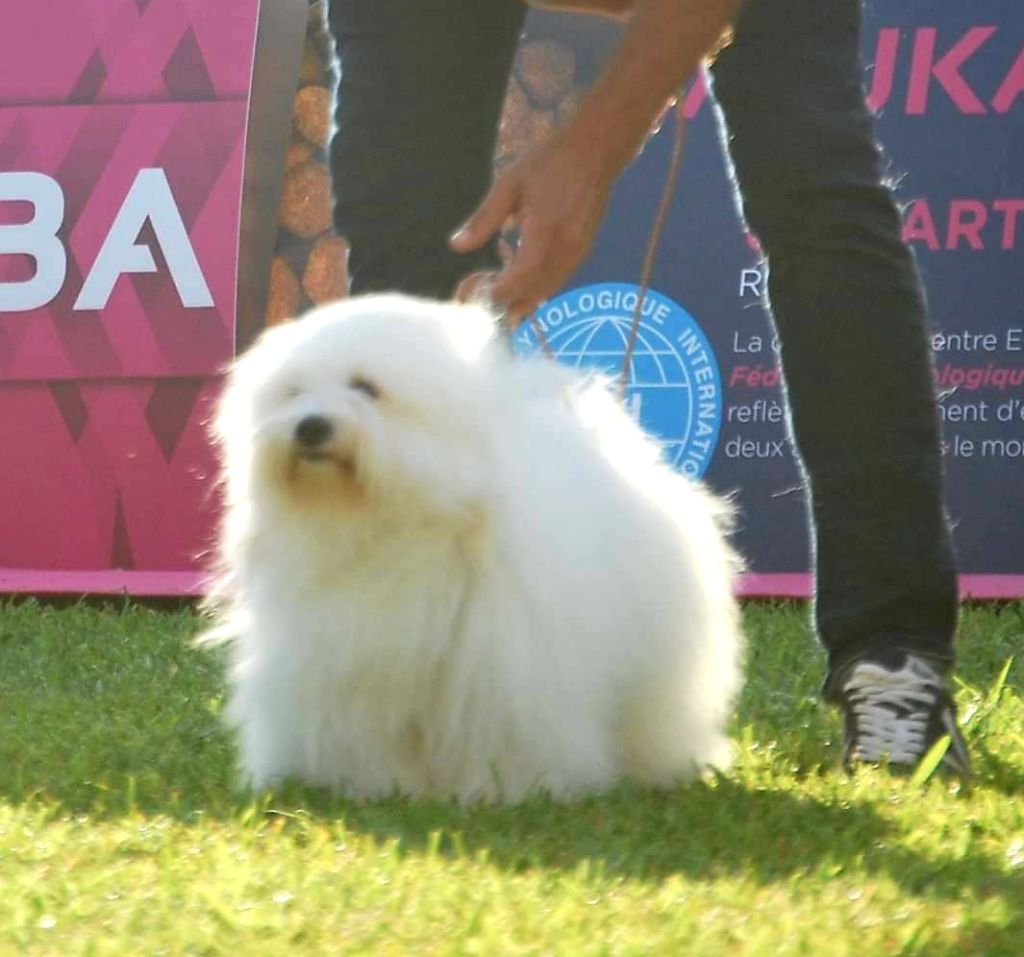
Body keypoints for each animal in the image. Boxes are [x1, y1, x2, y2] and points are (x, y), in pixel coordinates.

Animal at [201, 294, 745, 806]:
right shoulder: (351, 668)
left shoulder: (504, 670)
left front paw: (505, 790)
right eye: (293, 394)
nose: (310, 426)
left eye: (366, 387)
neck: (392, 524)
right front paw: (375, 786)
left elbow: (504, 735)